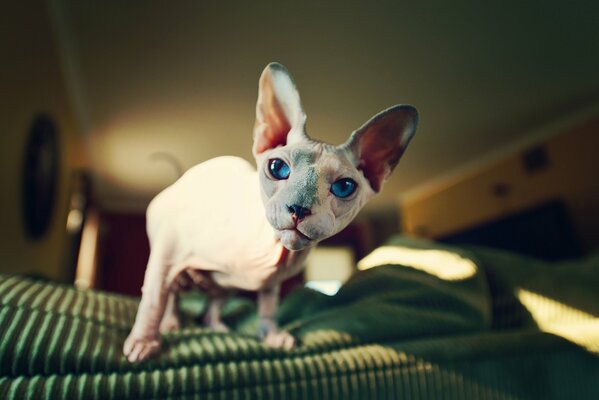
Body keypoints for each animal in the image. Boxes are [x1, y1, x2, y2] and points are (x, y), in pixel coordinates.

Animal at [124, 62, 420, 362]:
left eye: (344, 186)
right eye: (278, 168)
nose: (298, 208)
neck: (269, 253)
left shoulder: (271, 284)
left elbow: (267, 308)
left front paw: (272, 337)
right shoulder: (167, 253)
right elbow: (153, 300)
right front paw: (143, 342)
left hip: (225, 285)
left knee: (213, 302)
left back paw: (217, 327)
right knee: (171, 295)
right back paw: (171, 323)